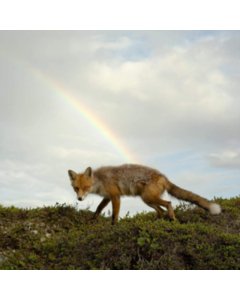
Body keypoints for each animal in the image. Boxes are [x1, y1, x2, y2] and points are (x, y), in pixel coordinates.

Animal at [67, 164, 221, 225]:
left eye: (86, 187)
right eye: (76, 188)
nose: (80, 199)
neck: (100, 181)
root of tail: (163, 177)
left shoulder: (115, 196)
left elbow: (114, 216)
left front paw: (114, 227)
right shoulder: (107, 197)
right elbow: (98, 209)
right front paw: (92, 220)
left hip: (148, 198)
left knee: (168, 204)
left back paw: (172, 218)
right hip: (147, 200)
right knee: (160, 211)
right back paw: (155, 222)